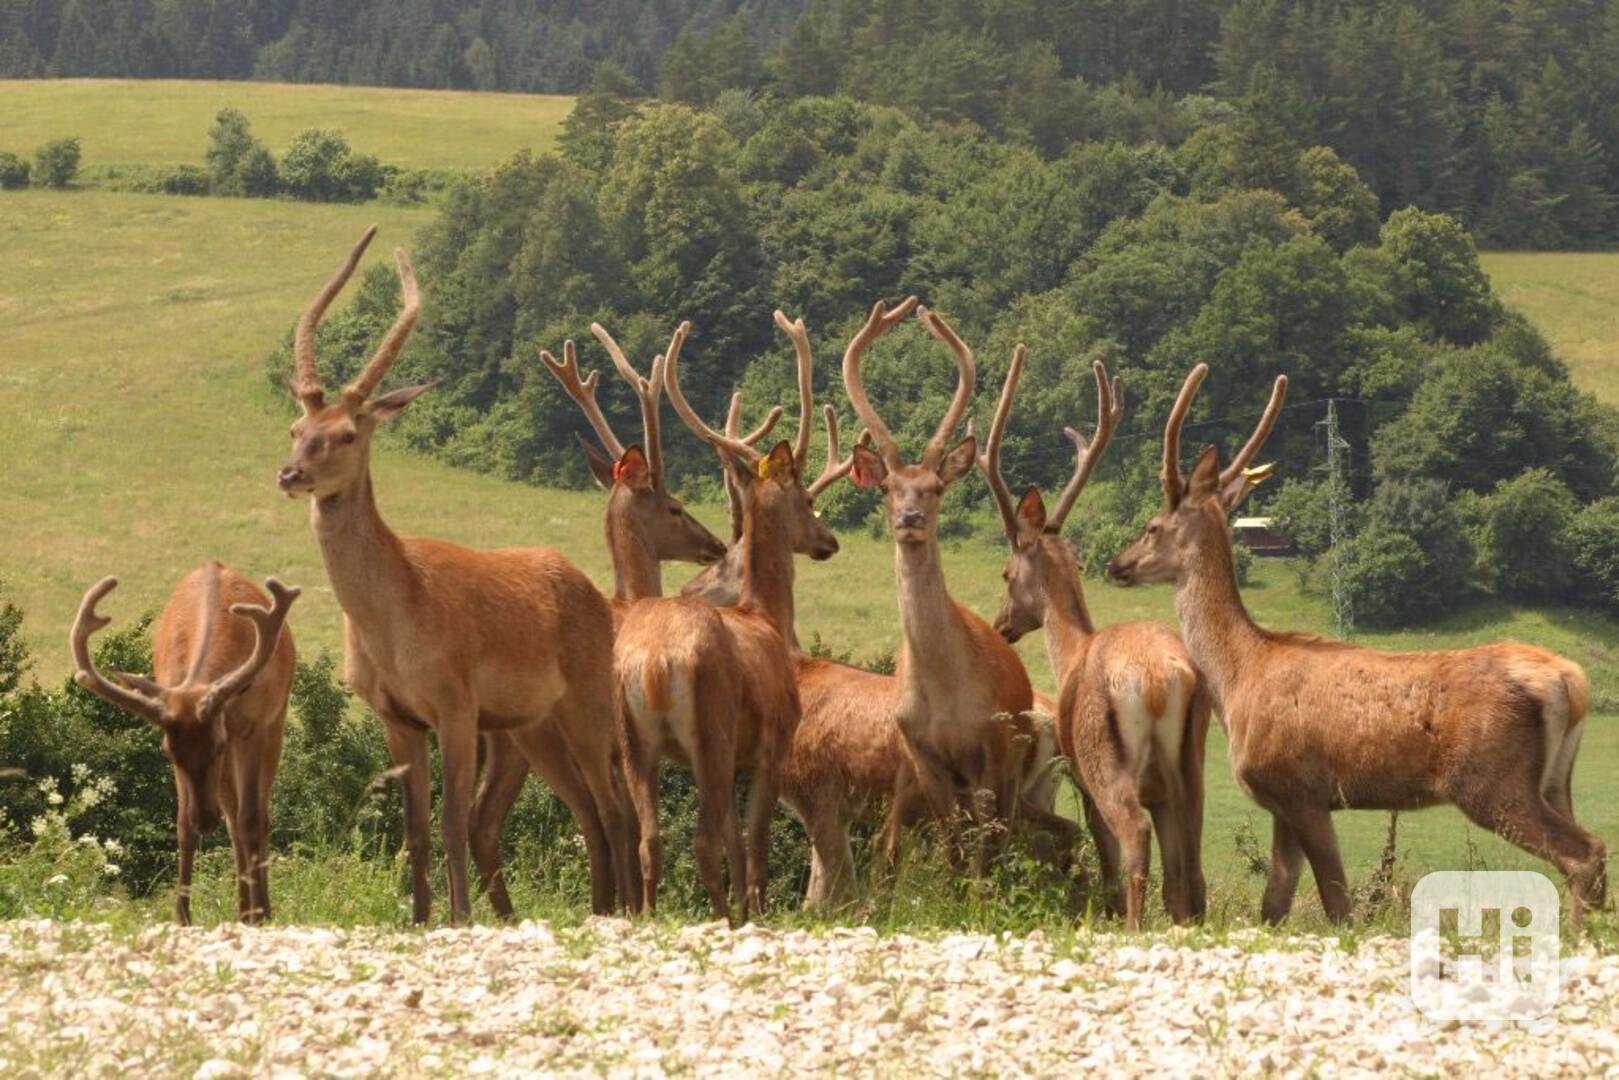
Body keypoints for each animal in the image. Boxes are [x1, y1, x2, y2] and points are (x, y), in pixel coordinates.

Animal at [70, 563, 301, 926]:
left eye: (217, 745)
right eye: (168, 752)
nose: (204, 821)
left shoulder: (251, 729)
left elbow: (252, 817)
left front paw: (261, 913)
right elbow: (181, 825)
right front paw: (181, 916)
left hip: (274, 725)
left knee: (257, 815)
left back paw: (255, 908)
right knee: (232, 818)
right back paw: (241, 908)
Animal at [608, 317, 835, 926]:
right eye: (804, 497)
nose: (829, 541)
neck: (767, 617)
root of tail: (655, 664)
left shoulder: (734, 758)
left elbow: (737, 842)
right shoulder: (772, 742)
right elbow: (753, 845)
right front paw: (755, 907)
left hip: (635, 739)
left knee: (650, 839)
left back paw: (651, 914)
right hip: (709, 727)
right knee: (702, 842)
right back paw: (721, 918)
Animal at [971, 351, 1204, 926]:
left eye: (1006, 573)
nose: (1003, 624)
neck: (1071, 653)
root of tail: (1159, 679)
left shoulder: (1080, 771)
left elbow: (1104, 853)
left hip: (1106, 756)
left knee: (1132, 833)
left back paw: (1132, 924)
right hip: (1190, 761)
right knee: (1189, 856)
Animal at [1100, 362, 1606, 919]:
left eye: (1152, 527)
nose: (1115, 564)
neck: (1237, 678)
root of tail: (1570, 683)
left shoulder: (1301, 788)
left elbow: (1337, 903)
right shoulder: (1283, 804)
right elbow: (1274, 904)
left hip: (1490, 779)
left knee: (1584, 853)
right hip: (1556, 780)